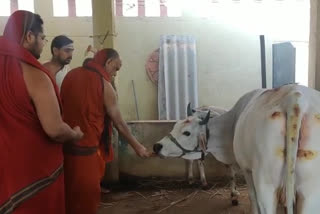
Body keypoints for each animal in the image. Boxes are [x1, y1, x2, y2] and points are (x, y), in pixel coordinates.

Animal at [152, 85, 320, 214]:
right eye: (175, 125)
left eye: (186, 132)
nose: (156, 146)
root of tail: (294, 97)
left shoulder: (246, 169)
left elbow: (248, 193)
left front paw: (234, 196)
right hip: (309, 190)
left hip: (266, 183)